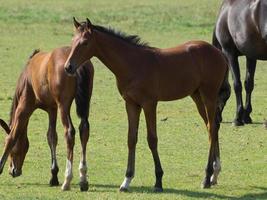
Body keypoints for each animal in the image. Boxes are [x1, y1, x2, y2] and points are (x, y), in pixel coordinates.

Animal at [0, 46, 94, 191]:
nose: (14, 171)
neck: (27, 75)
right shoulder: (52, 109)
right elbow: (52, 137)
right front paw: (54, 176)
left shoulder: (24, 107)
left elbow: (12, 136)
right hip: (83, 104)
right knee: (84, 129)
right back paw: (83, 179)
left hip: (63, 105)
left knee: (69, 132)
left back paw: (68, 179)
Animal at [63, 18, 230, 191]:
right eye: (72, 41)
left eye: (85, 42)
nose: (68, 67)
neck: (132, 64)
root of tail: (220, 54)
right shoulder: (131, 104)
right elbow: (131, 138)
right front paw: (126, 180)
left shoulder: (149, 104)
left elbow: (152, 139)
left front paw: (158, 180)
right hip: (197, 96)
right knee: (213, 126)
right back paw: (214, 174)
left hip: (209, 95)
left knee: (212, 128)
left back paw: (207, 177)